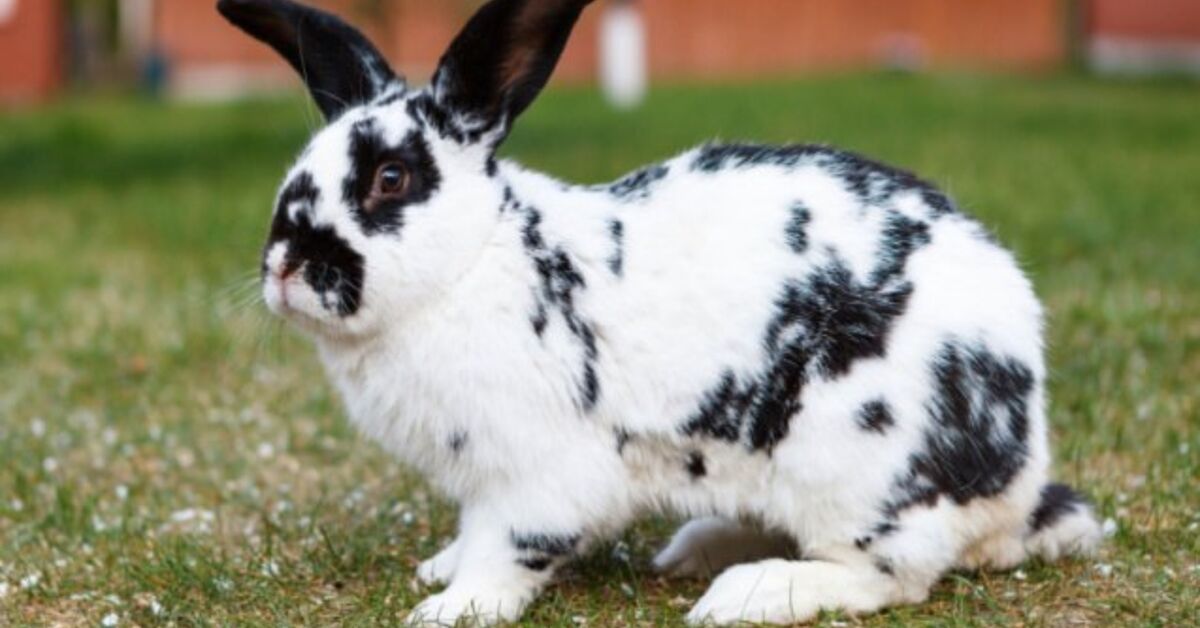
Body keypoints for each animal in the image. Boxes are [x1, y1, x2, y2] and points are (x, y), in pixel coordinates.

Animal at [219, 0, 1103, 625]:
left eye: (390, 179)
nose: (284, 265)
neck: (472, 263)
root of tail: (1019, 476)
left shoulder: (537, 477)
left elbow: (506, 551)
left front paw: (449, 607)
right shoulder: (481, 481)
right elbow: (471, 533)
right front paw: (440, 568)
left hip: (856, 470)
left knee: (889, 576)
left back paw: (745, 594)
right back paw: (694, 548)